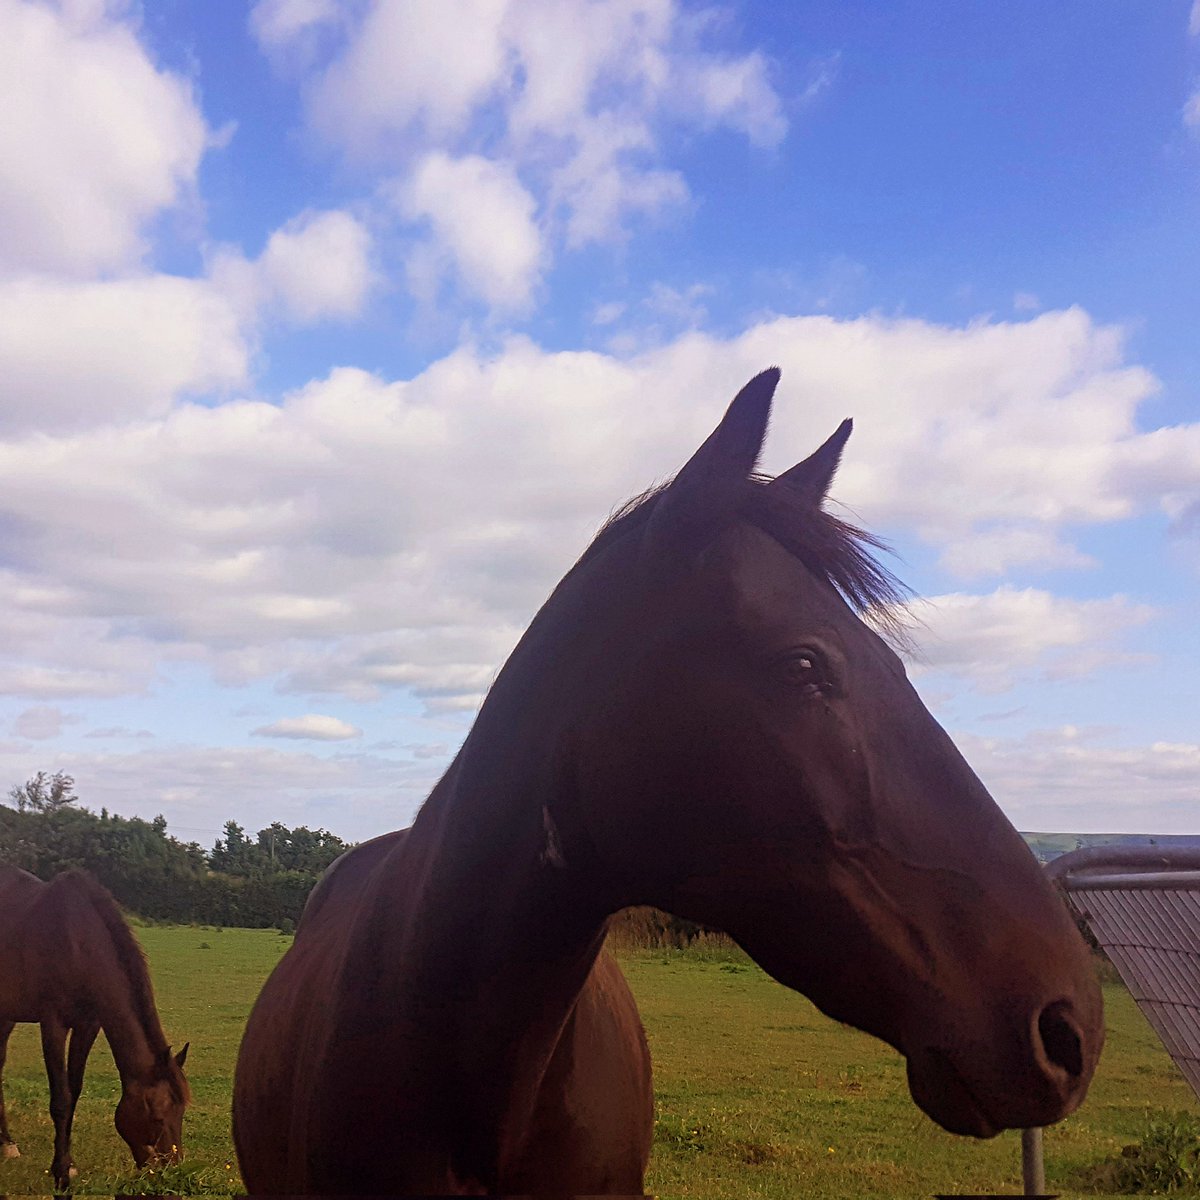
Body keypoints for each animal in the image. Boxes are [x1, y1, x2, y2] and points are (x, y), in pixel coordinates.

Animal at [0, 865, 190, 1190]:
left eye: (181, 1112)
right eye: (156, 1117)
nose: (169, 1170)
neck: (79, 942)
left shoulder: (88, 1024)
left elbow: (74, 1091)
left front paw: (69, 1163)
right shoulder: (53, 1022)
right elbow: (61, 1099)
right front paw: (61, 1174)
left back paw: (6, 1143)